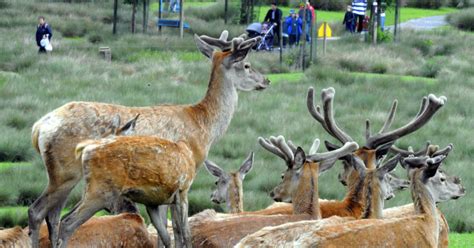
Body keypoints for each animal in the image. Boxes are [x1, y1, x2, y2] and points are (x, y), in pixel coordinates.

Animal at [27, 32, 268, 247]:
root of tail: (39, 128)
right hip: (65, 172)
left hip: (64, 175)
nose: (266, 80)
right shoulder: (179, 182)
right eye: (247, 65)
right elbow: (176, 233)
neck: (204, 128)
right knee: (38, 211)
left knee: (52, 216)